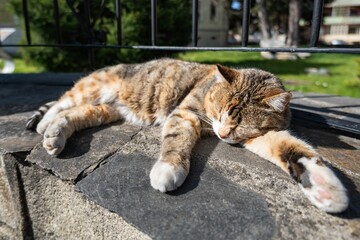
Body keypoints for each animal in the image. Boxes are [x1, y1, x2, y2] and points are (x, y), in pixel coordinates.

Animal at [26, 59, 348, 213]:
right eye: (219, 111)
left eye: (241, 126)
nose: (222, 132)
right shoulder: (186, 113)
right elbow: (176, 141)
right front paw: (169, 169)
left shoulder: (261, 136)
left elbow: (293, 148)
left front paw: (324, 186)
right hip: (91, 88)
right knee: (62, 102)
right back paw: (44, 123)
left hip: (107, 110)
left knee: (76, 113)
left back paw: (54, 134)